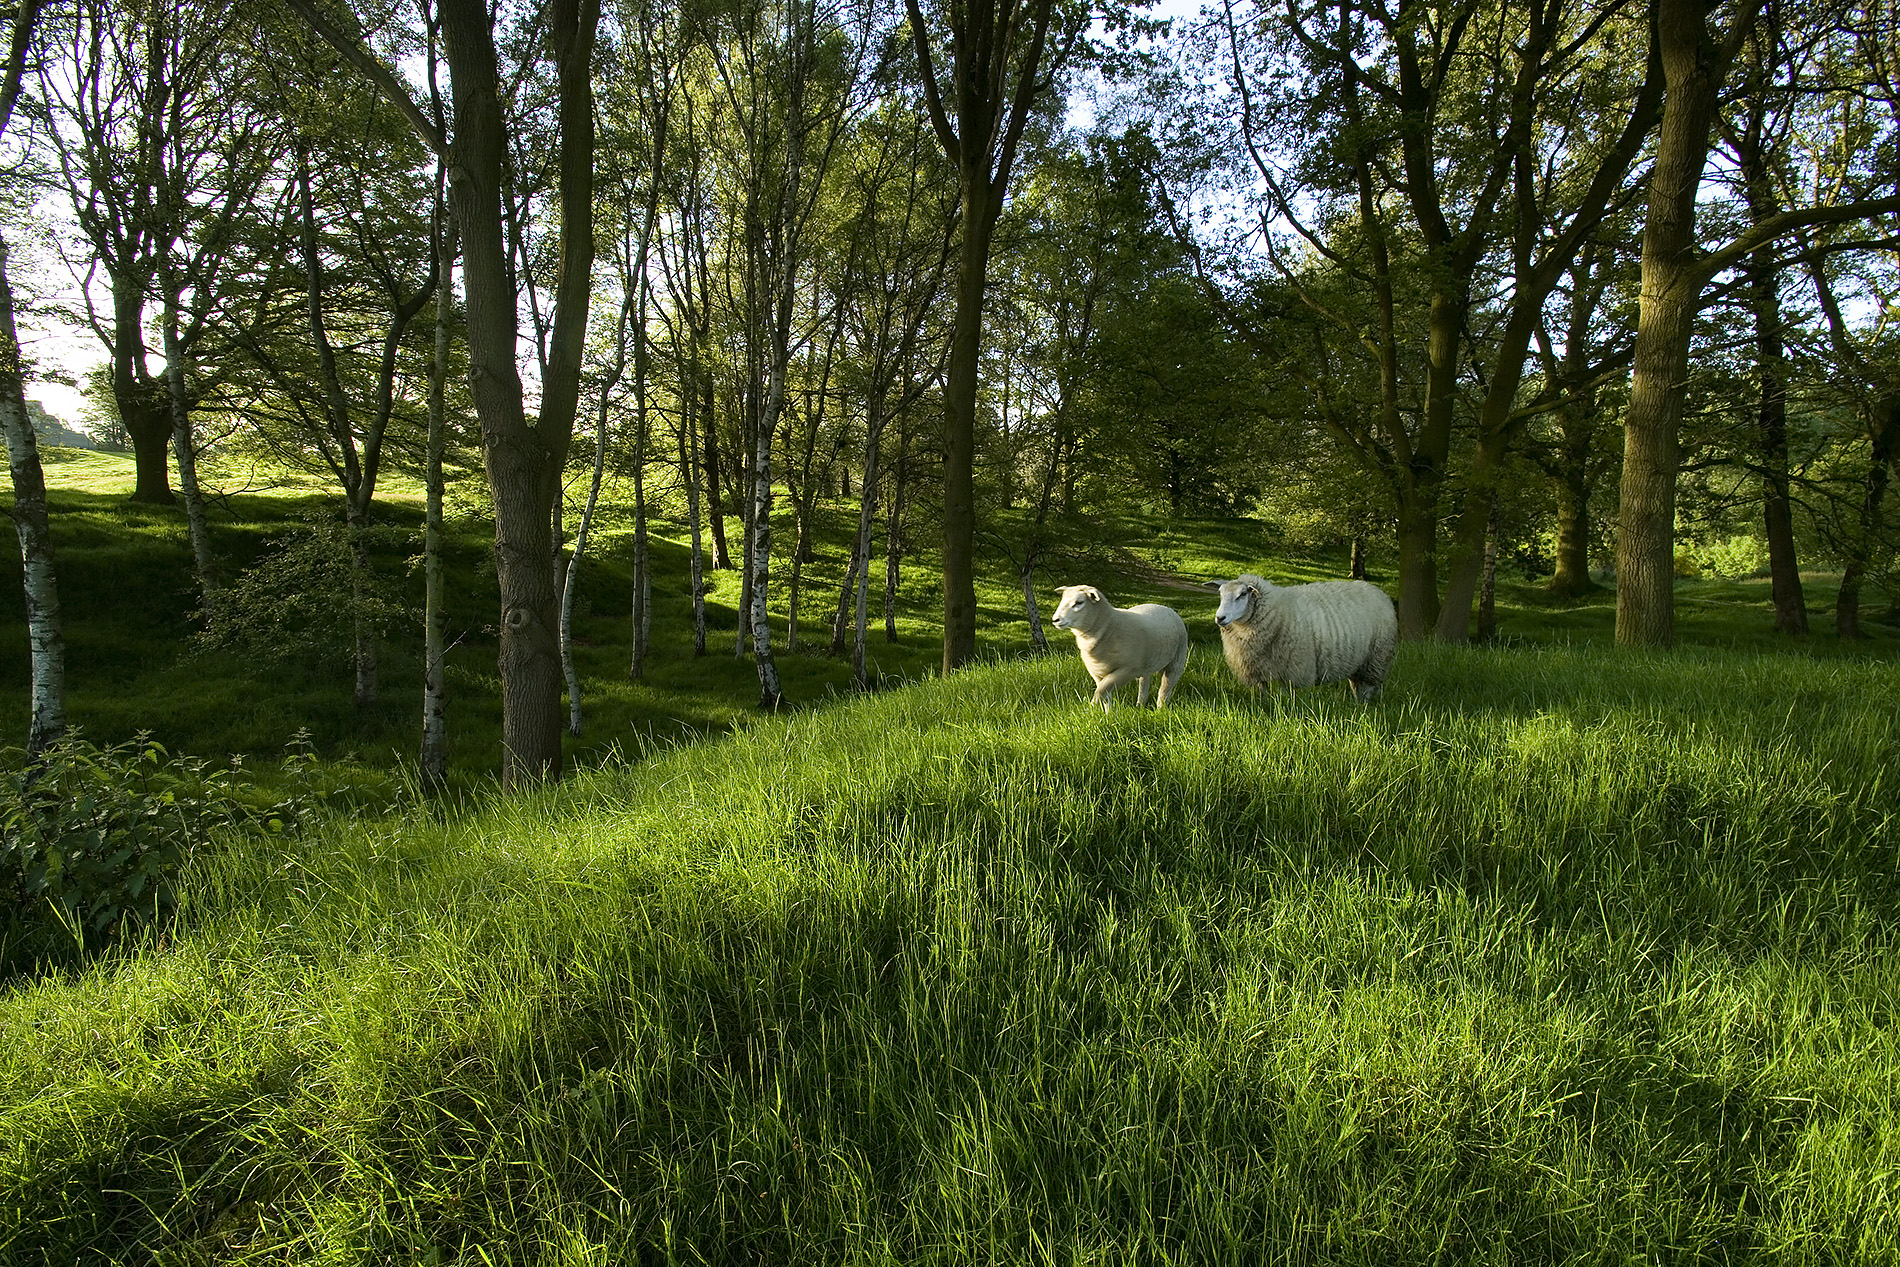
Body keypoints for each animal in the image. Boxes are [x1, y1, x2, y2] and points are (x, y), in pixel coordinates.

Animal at [1056, 588, 1185, 714]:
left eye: (1079, 602)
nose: (1056, 620)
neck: (1109, 627)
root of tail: (1164, 607)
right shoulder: (1097, 673)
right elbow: (1105, 693)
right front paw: (1109, 715)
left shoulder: (1127, 670)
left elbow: (1100, 691)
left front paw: (1091, 708)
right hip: (1146, 664)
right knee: (1144, 682)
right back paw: (1140, 705)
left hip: (1177, 661)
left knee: (1166, 687)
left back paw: (1160, 709)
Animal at [1216, 573, 1398, 702]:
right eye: (1220, 594)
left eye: (1242, 594)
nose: (1220, 618)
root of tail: (1377, 591)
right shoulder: (1257, 672)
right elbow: (1263, 697)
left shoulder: (1294, 672)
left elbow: (1288, 699)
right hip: (1358, 662)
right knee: (1357, 686)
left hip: (1376, 658)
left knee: (1368, 687)